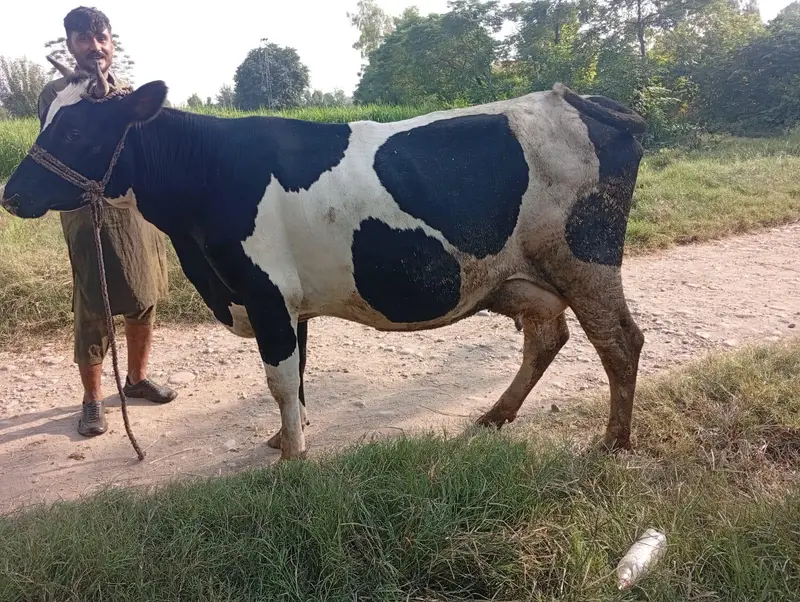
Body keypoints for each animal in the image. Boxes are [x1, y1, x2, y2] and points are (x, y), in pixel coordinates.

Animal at [1, 65, 647, 460]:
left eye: (77, 129)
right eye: (47, 119)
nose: (12, 193)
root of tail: (581, 100)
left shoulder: (265, 294)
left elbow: (280, 378)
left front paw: (291, 454)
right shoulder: (291, 303)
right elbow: (300, 374)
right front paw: (284, 436)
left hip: (584, 259)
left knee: (620, 341)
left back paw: (614, 442)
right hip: (523, 275)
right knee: (548, 335)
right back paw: (496, 415)